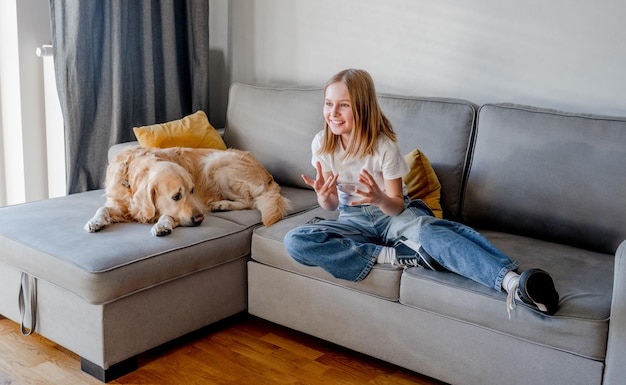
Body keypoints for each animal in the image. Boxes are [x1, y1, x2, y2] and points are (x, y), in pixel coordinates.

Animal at [84, 144, 292, 234]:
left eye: (192, 191)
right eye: (176, 196)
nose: (200, 218)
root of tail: (268, 175)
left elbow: (168, 215)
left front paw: (162, 224)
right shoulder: (120, 203)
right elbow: (103, 208)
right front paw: (95, 222)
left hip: (215, 163)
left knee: (249, 201)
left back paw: (222, 205)